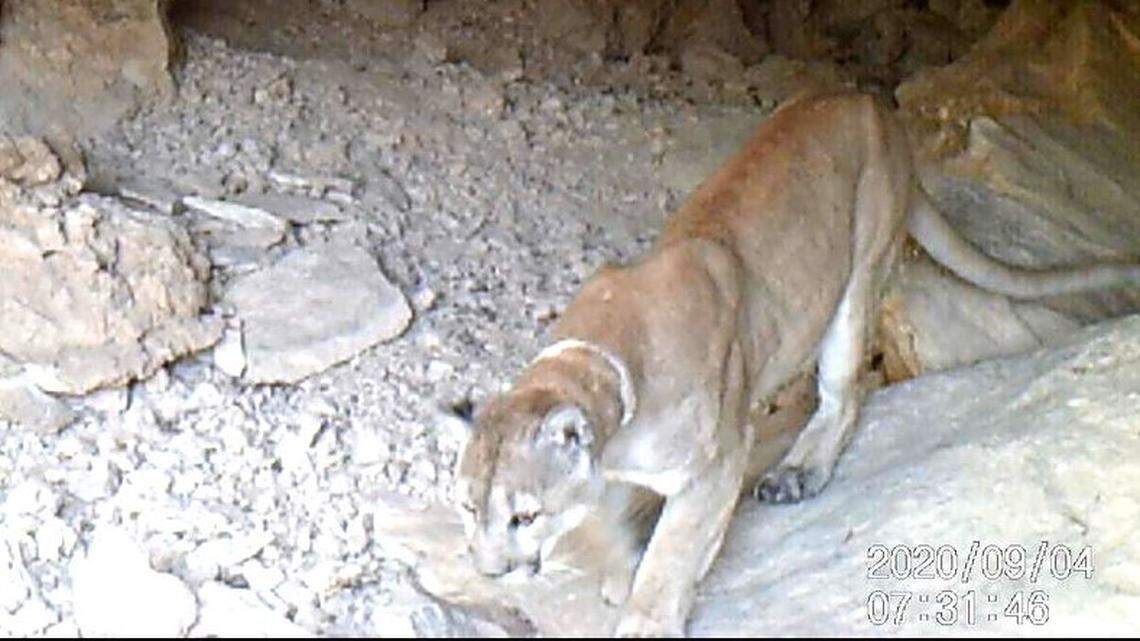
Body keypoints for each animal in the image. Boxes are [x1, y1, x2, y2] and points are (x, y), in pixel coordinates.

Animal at [451, 91, 1140, 636]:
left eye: (524, 515)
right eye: (466, 507)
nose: (489, 570)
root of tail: (869, 101)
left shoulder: (715, 463)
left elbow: (674, 551)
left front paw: (646, 615)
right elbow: (612, 525)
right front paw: (621, 570)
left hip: (858, 275)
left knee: (845, 390)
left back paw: (799, 469)